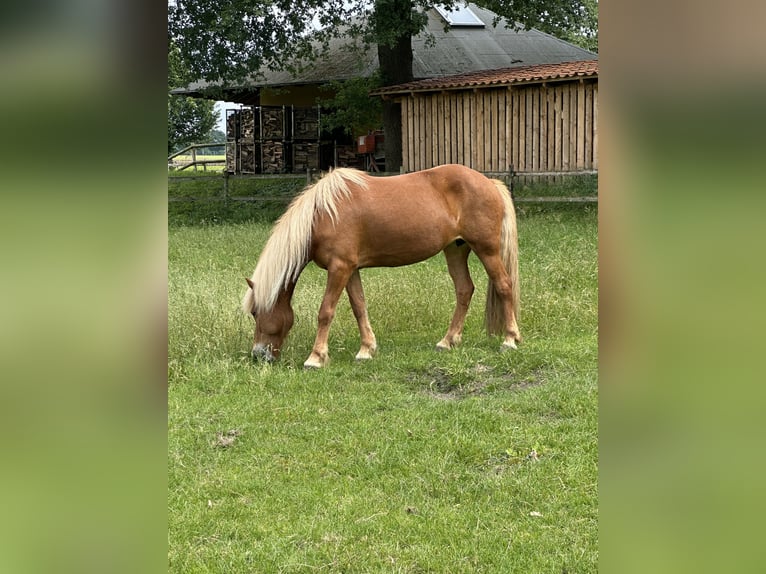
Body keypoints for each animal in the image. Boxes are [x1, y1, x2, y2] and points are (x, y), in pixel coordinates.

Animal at [244, 164, 520, 368]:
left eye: (255, 312)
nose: (258, 355)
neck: (323, 215)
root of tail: (490, 183)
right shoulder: (351, 269)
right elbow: (359, 307)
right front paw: (366, 349)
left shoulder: (339, 268)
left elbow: (326, 311)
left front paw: (316, 357)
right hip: (455, 249)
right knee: (464, 290)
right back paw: (448, 341)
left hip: (487, 249)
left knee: (504, 285)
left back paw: (510, 339)